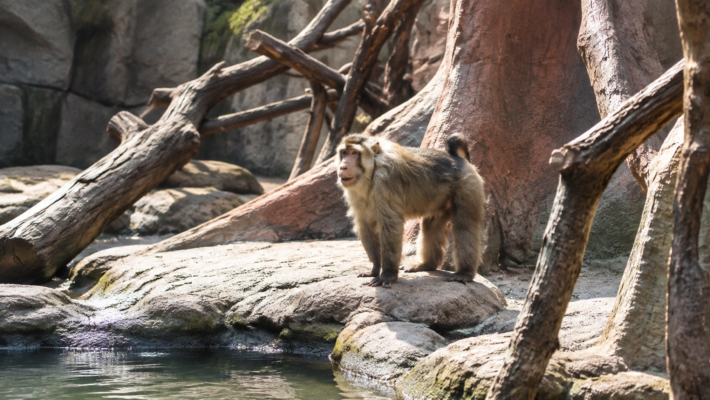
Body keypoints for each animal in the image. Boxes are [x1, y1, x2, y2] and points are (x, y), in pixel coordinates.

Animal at [335, 133, 485, 287]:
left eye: (354, 153)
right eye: (344, 153)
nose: (343, 166)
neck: (372, 171)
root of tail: (457, 158)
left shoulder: (385, 180)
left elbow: (391, 225)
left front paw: (388, 273)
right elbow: (366, 225)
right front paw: (375, 269)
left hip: (468, 185)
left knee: (465, 225)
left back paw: (464, 273)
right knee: (432, 226)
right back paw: (427, 264)